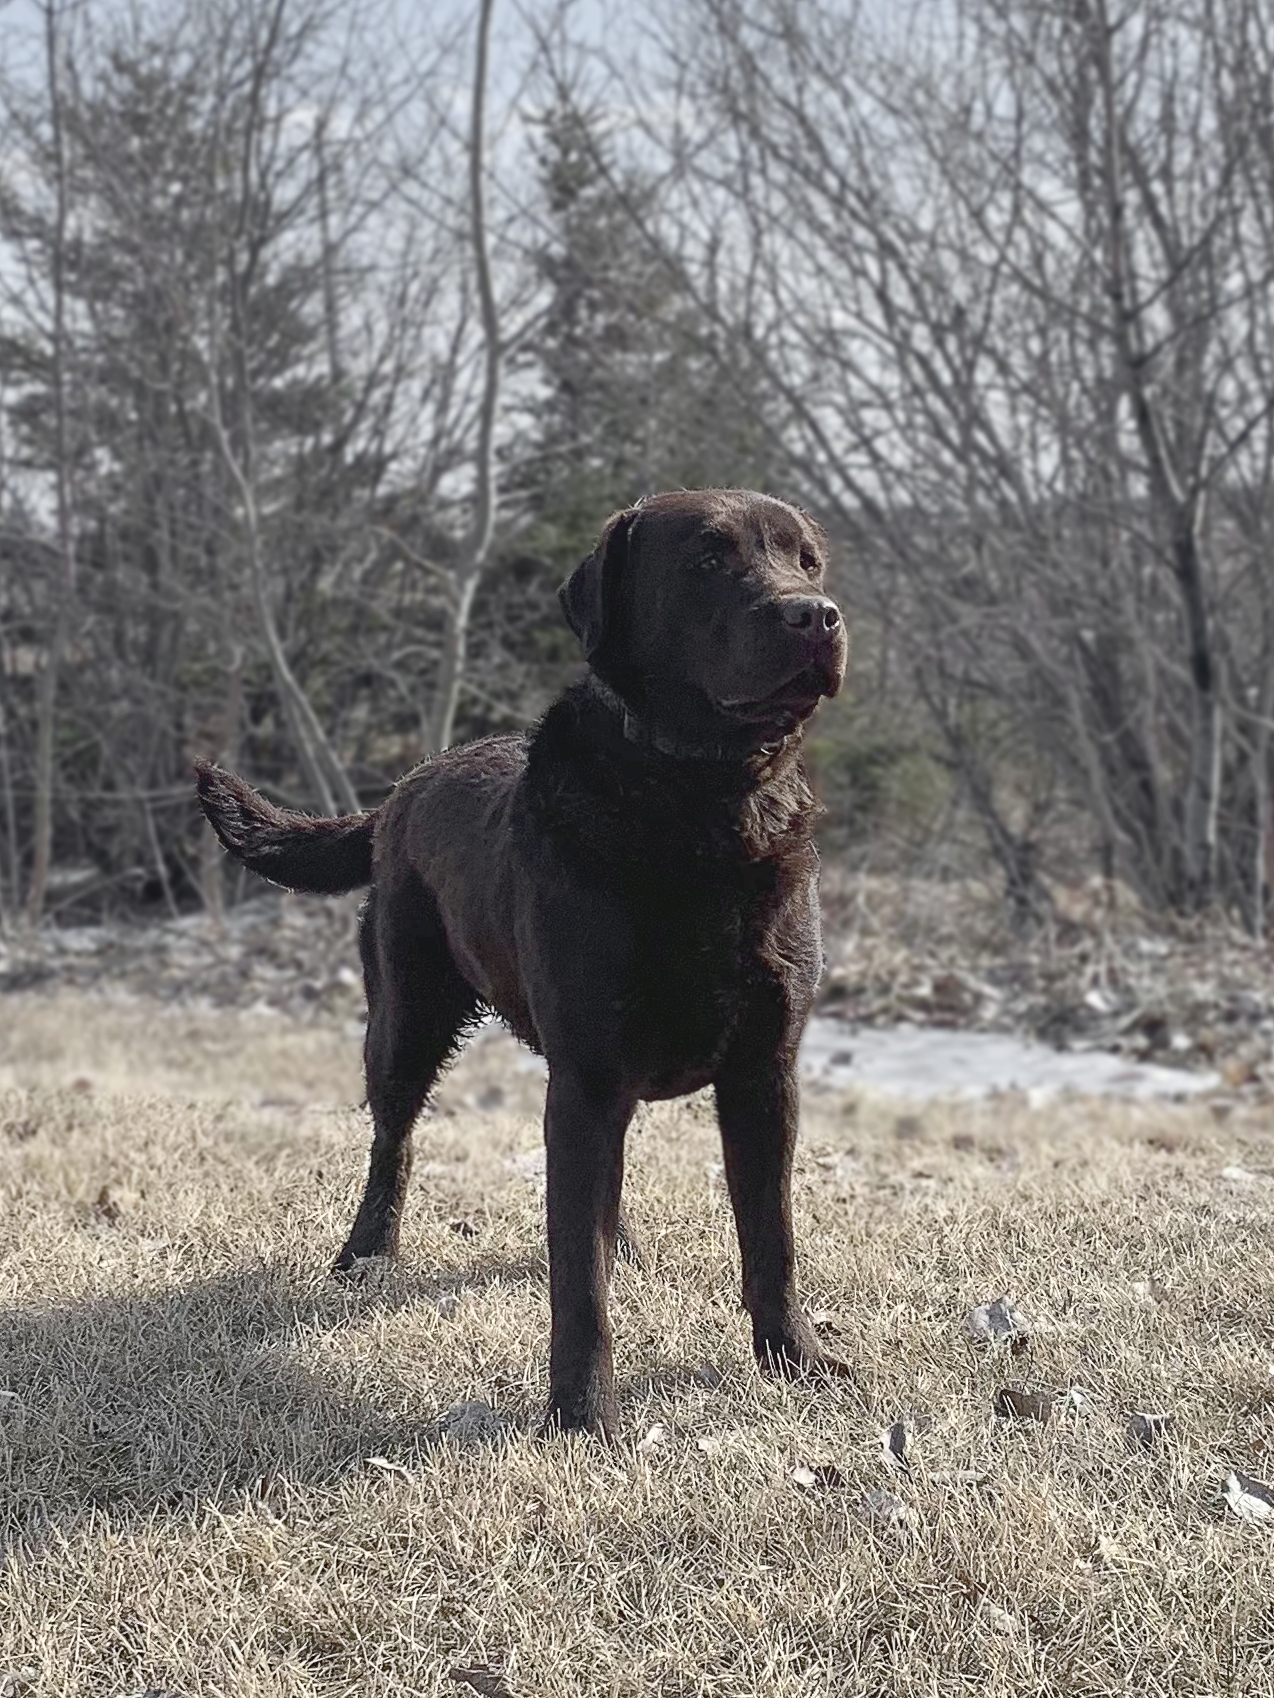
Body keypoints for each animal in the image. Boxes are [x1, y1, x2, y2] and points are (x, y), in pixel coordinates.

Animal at [197, 492, 849, 1433]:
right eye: (707, 561)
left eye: (808, 562)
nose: (816, 617)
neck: (702, 807)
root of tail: (399, 790)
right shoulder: (585, 1078)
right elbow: (578, 1283)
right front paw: (581, 1418)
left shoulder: (766, 1072)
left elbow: (773, 1239)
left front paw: (796, 1364)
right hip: (405, 1021)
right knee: (392, 1142)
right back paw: (366, 1253)